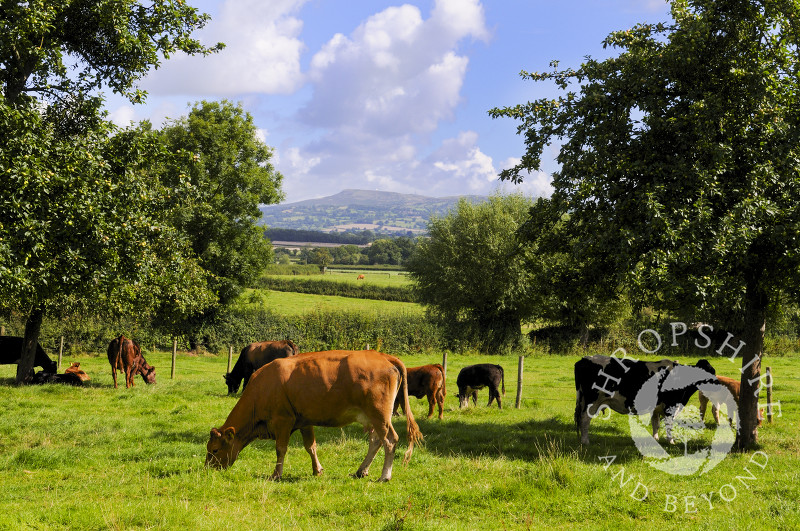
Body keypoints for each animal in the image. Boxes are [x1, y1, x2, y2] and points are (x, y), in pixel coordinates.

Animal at [205, 352, 424, 484]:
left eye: (214, 450)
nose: (208, 469)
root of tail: (385, 356)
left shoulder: (283, 421)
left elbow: (280, 449)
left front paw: (276, 474)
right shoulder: (304, 421)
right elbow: (311, 447)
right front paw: (317, 469)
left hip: (380, 415)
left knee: (390, 441)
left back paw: (384, 476)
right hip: (372, 418)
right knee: (376, 441)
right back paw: (361, 471)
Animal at [572, 356, 716, 446]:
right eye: (711, 372)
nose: (718, 383)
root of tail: (584, 359)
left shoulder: (657, 408)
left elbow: (656, 424)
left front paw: (656, 438)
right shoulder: (671, 406)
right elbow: (669, 425)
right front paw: (671, 441)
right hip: (592, 402)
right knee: (585, 420)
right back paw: (585, 442)